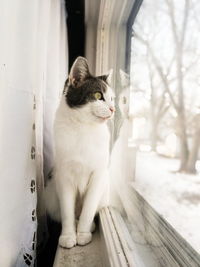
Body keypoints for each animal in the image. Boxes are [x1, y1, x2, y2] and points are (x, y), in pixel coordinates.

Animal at [44, 57, 115, 249]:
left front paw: (82, 234)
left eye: (112, 99)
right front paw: (68, 236)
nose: (113, 109)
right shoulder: (64, 176)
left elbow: (88, 209)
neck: (84, 129)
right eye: (98, 95)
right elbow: (67, 212)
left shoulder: (98, 176)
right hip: (51, 193)